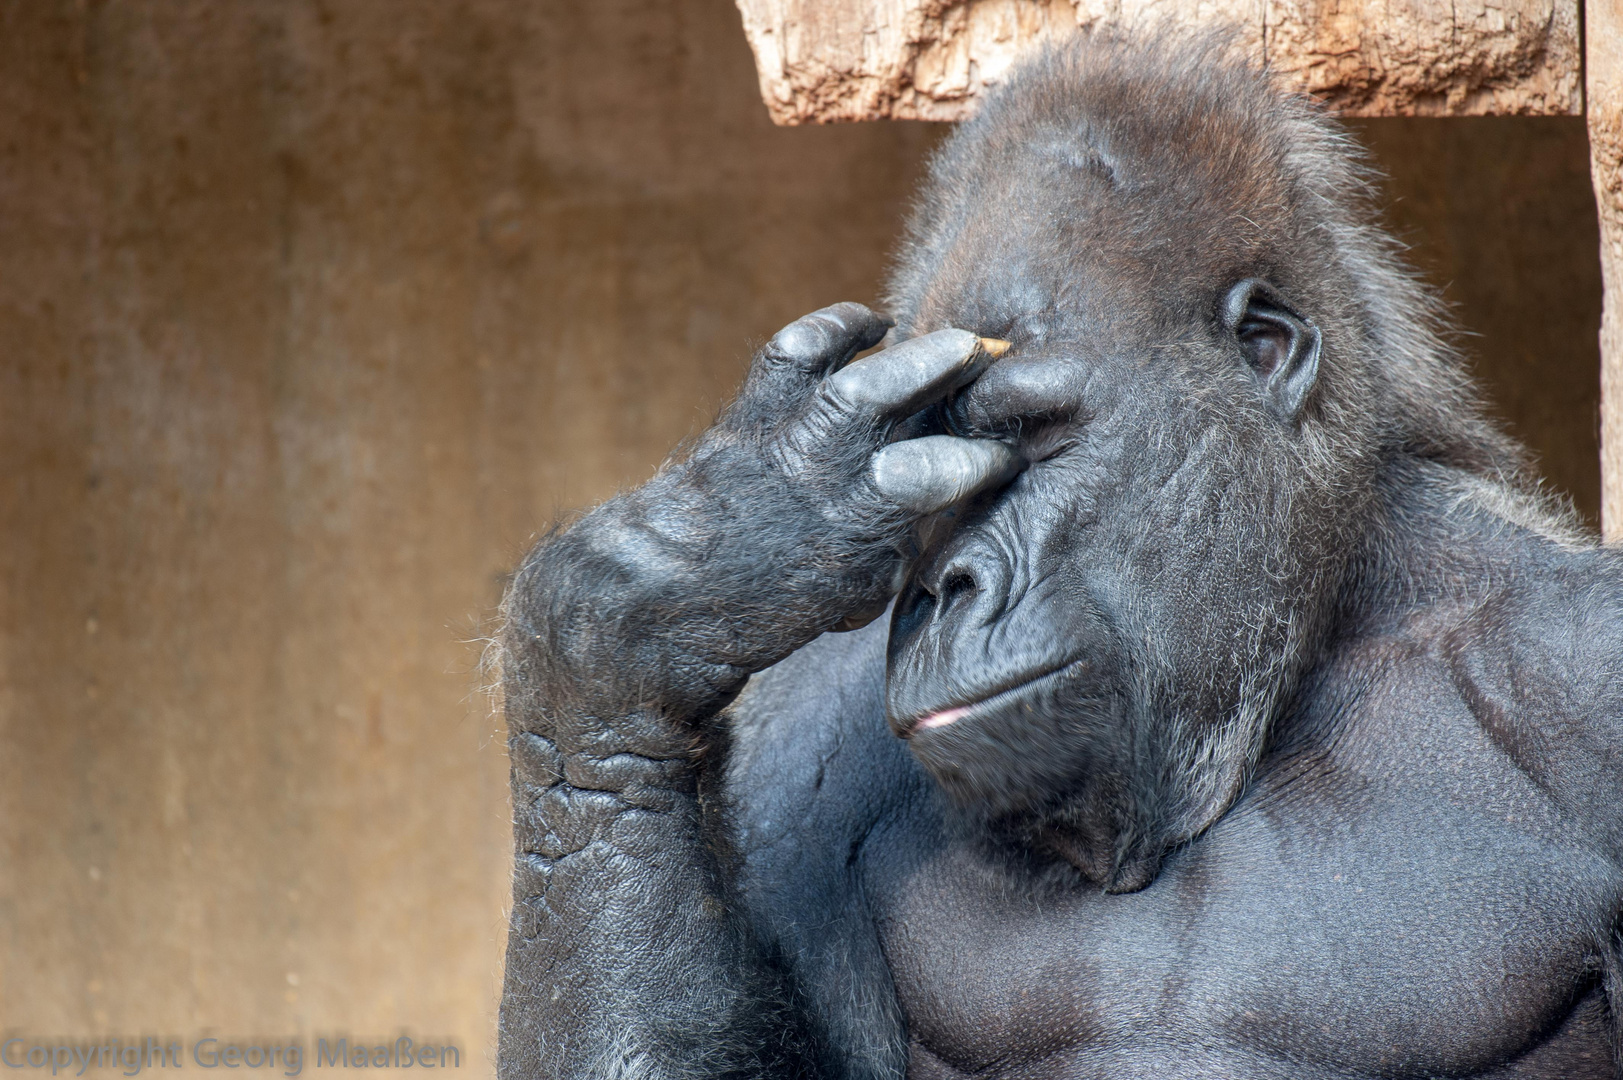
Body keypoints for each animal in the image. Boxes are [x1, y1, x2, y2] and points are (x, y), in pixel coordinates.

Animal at [490, 29, 1623, 1071]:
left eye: (1027, 443)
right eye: (941, 490)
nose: (947, 586)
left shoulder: (1582, 671)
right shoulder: (793, 762)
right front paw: (644, 606)